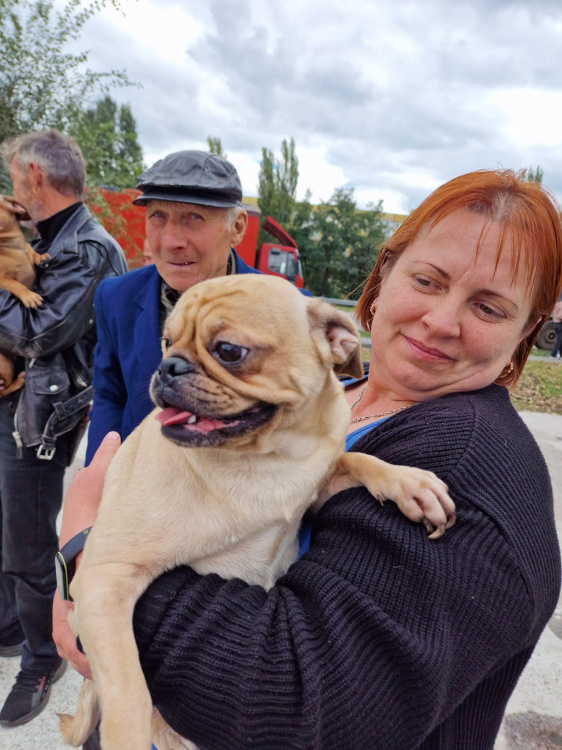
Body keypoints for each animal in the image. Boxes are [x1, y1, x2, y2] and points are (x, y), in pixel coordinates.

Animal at [59, 274, 452, 750]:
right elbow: (127, 685)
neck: (264, 459)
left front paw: (409, 484)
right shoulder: (105, 576)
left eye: (229, 351)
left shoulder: (317, 488)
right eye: (167, 342)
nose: (168, 366)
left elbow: (355, 459)